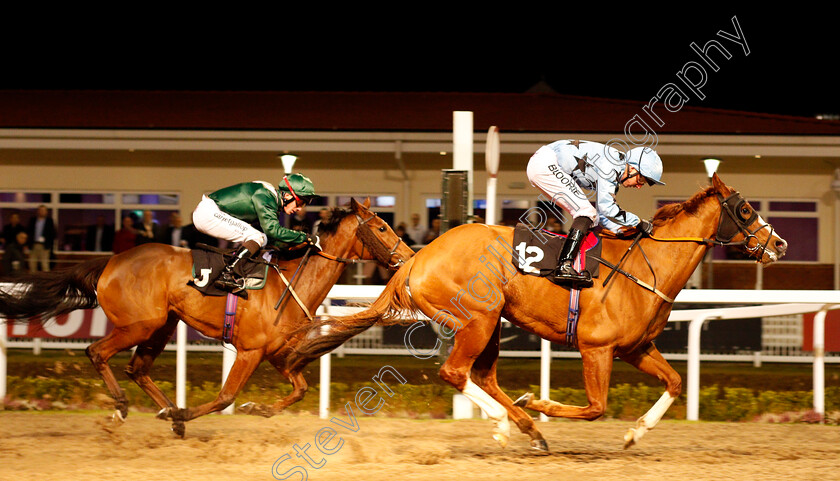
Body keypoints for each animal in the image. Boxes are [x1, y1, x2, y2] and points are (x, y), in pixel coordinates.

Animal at [0, 198, 414, 436]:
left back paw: (168, 410)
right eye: (381, 226)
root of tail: (111, 261)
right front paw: (189, 413)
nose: (410, 256)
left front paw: (255, 409)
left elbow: (300, 389)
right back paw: (123, 409)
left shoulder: (279, 354)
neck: (291, 281)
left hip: (163, 325)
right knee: (97, 352)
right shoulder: (250, 351)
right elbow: (225, 396)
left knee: (137, 368)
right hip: (140, 324)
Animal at [300, 175, 788, 450]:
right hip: (477, 318)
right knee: (456, 372)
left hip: (492, 322)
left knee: (483, 377)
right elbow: (595, 407)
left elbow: (675, 382)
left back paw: (525, 428)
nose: (780, 244)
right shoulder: (597, 348)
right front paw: (537, 402)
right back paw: (509, 420)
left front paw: (635, 433)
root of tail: (417, 258)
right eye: (746, 210)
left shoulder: (635, 348)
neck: (646, 266)